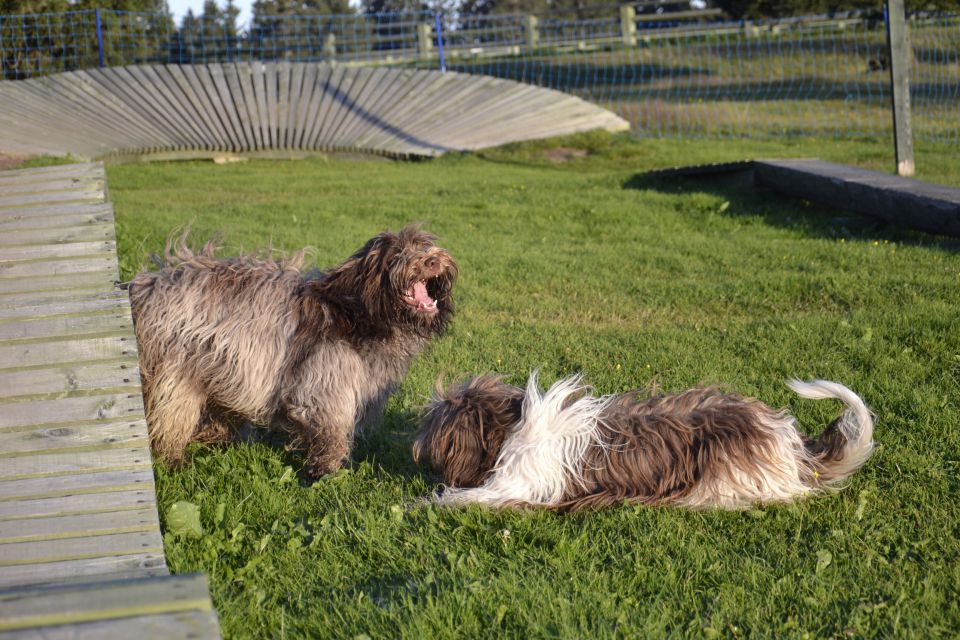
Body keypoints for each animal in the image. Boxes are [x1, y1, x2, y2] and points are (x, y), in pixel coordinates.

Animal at [128, 228, 458, 478]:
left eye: (424, 245)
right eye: (397, 254)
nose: (432, 260)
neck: (360, 315)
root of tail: (145, 287)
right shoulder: (325, 380)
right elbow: (331, 428)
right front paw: (325, 469)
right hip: (177, 370)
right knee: (170, 416)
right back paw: (175, 457)